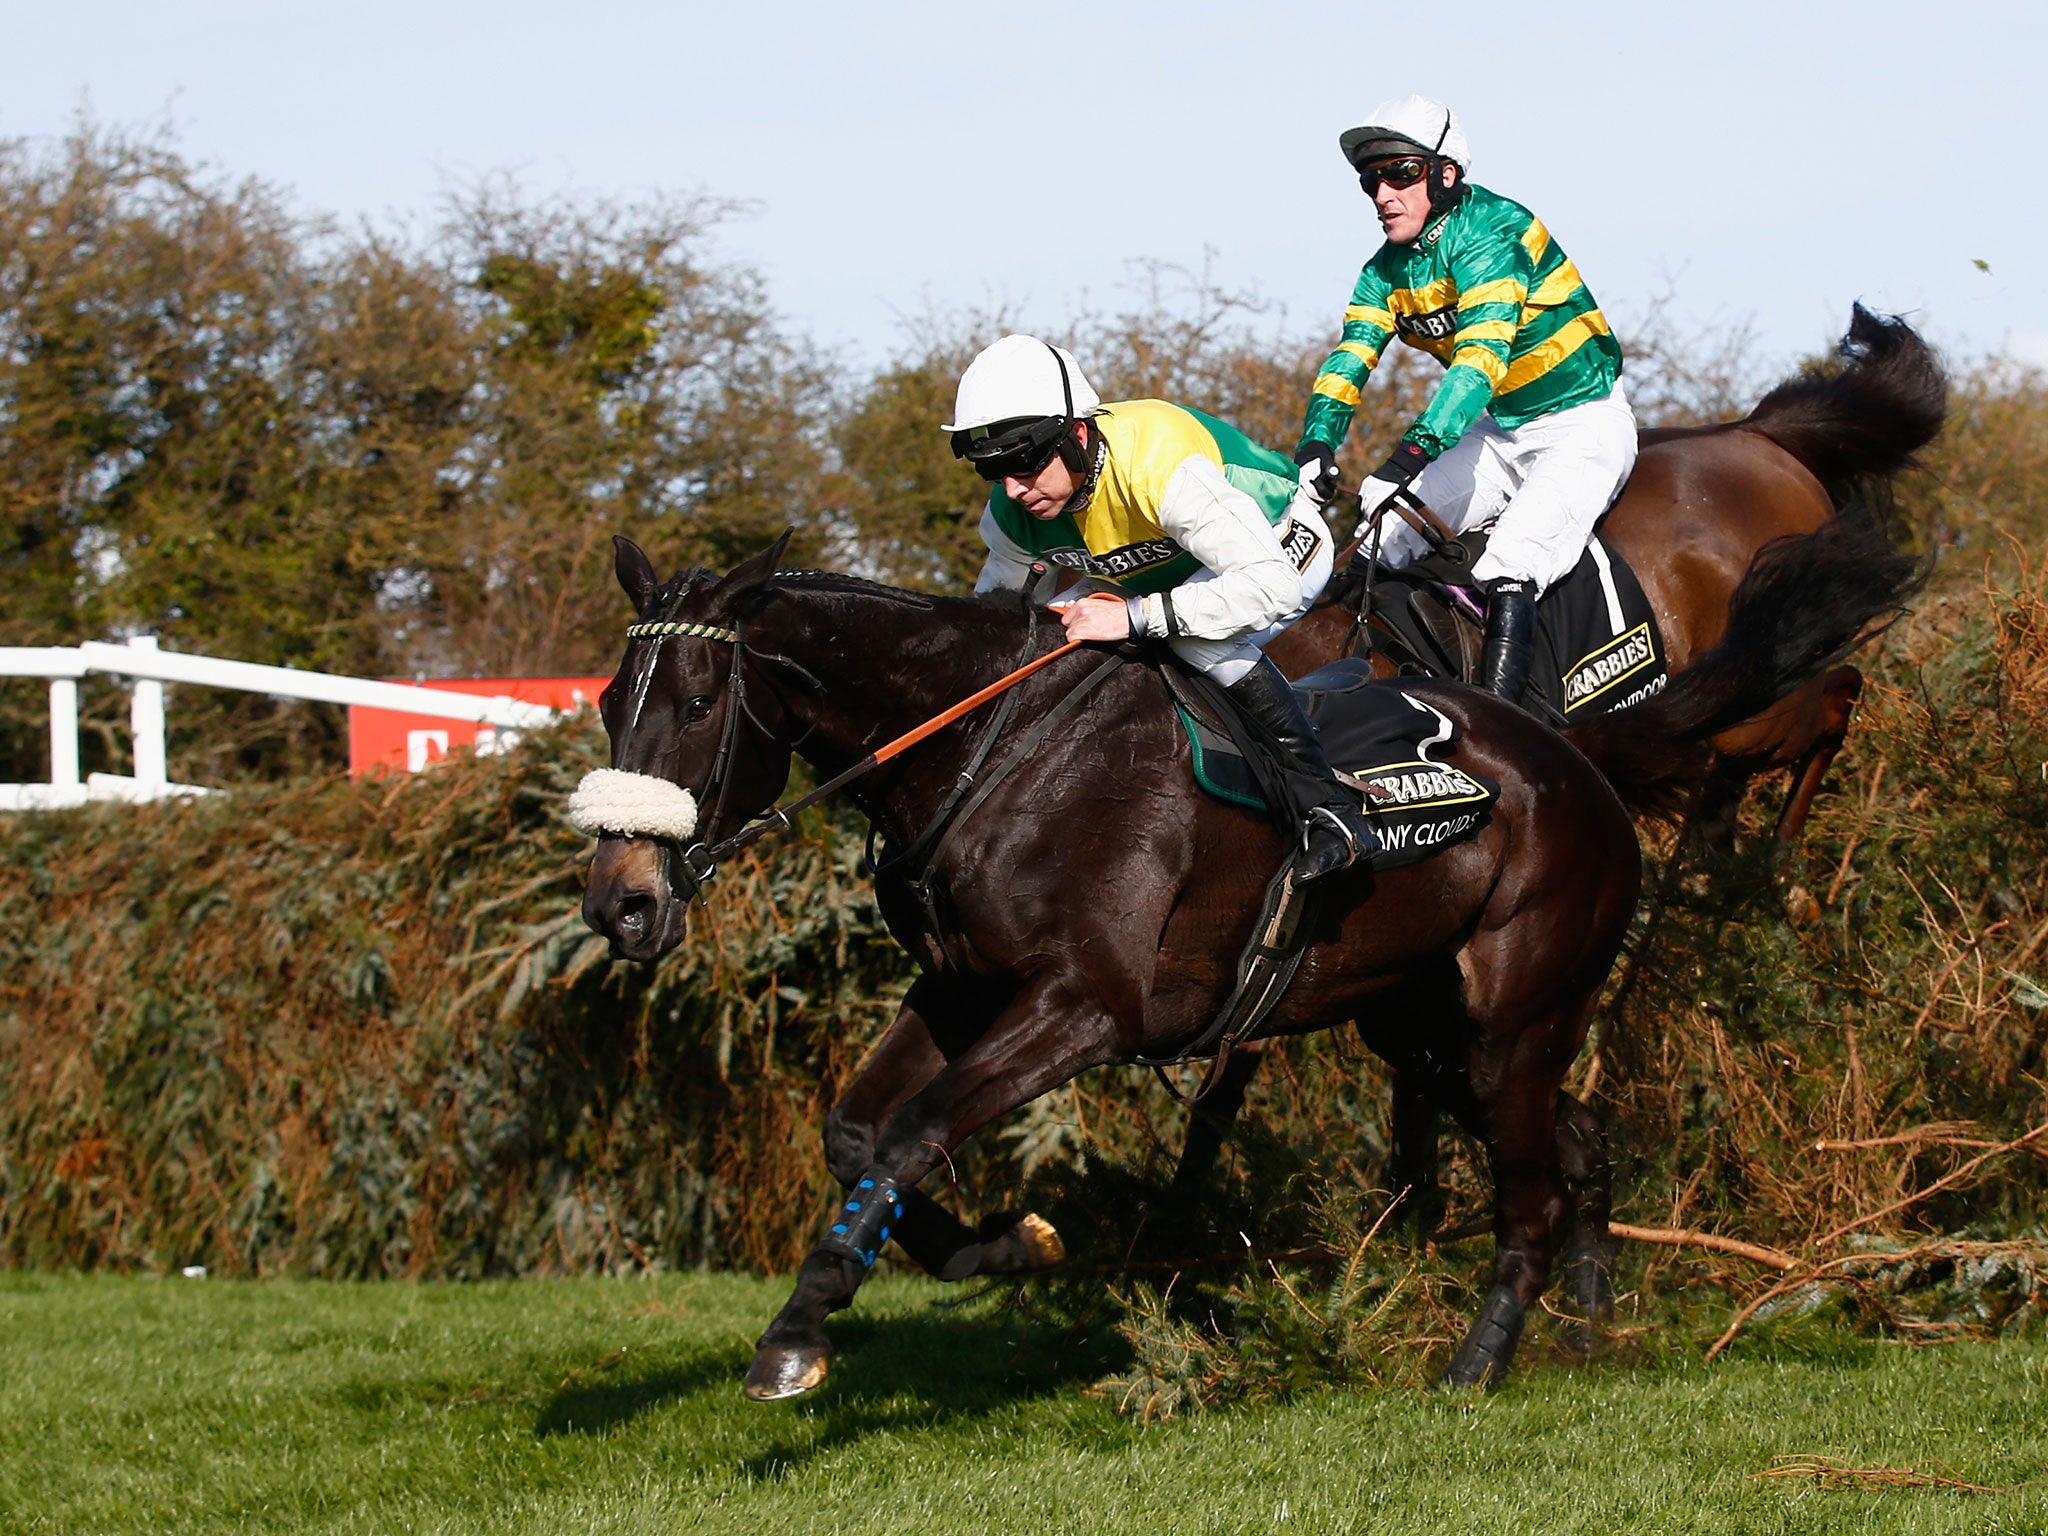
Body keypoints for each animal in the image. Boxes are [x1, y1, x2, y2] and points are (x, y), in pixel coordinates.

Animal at [581, 514, 1916, 1392]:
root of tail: (1573, 755)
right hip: (1418, 1026)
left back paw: (1476, 1367)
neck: (987, 748)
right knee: (1579, 1150)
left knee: (1532, 1192)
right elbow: (856, 1134)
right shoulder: (963, 988)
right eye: (603, 700)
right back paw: (1586, 1341)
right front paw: (992, 1246)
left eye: (696, 702)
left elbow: (912, 1133)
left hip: (1511, 1017)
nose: (620, 905)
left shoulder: (1084, 1008)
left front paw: (801, 1333)